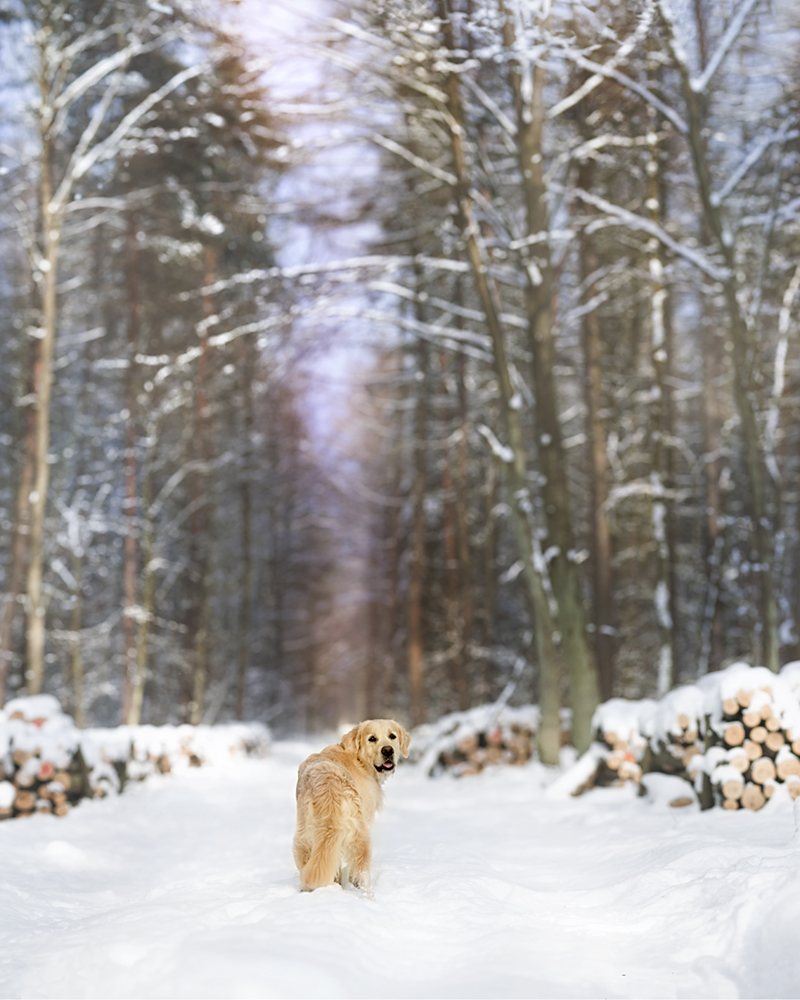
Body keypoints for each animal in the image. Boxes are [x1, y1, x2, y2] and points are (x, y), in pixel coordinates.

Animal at [290, 724, 410, 896]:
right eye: (372, 738)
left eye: (392, 736)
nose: (388, 750)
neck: (359, 760)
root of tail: (328, 785)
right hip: (361, 838)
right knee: (362, 874)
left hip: (304, 839)